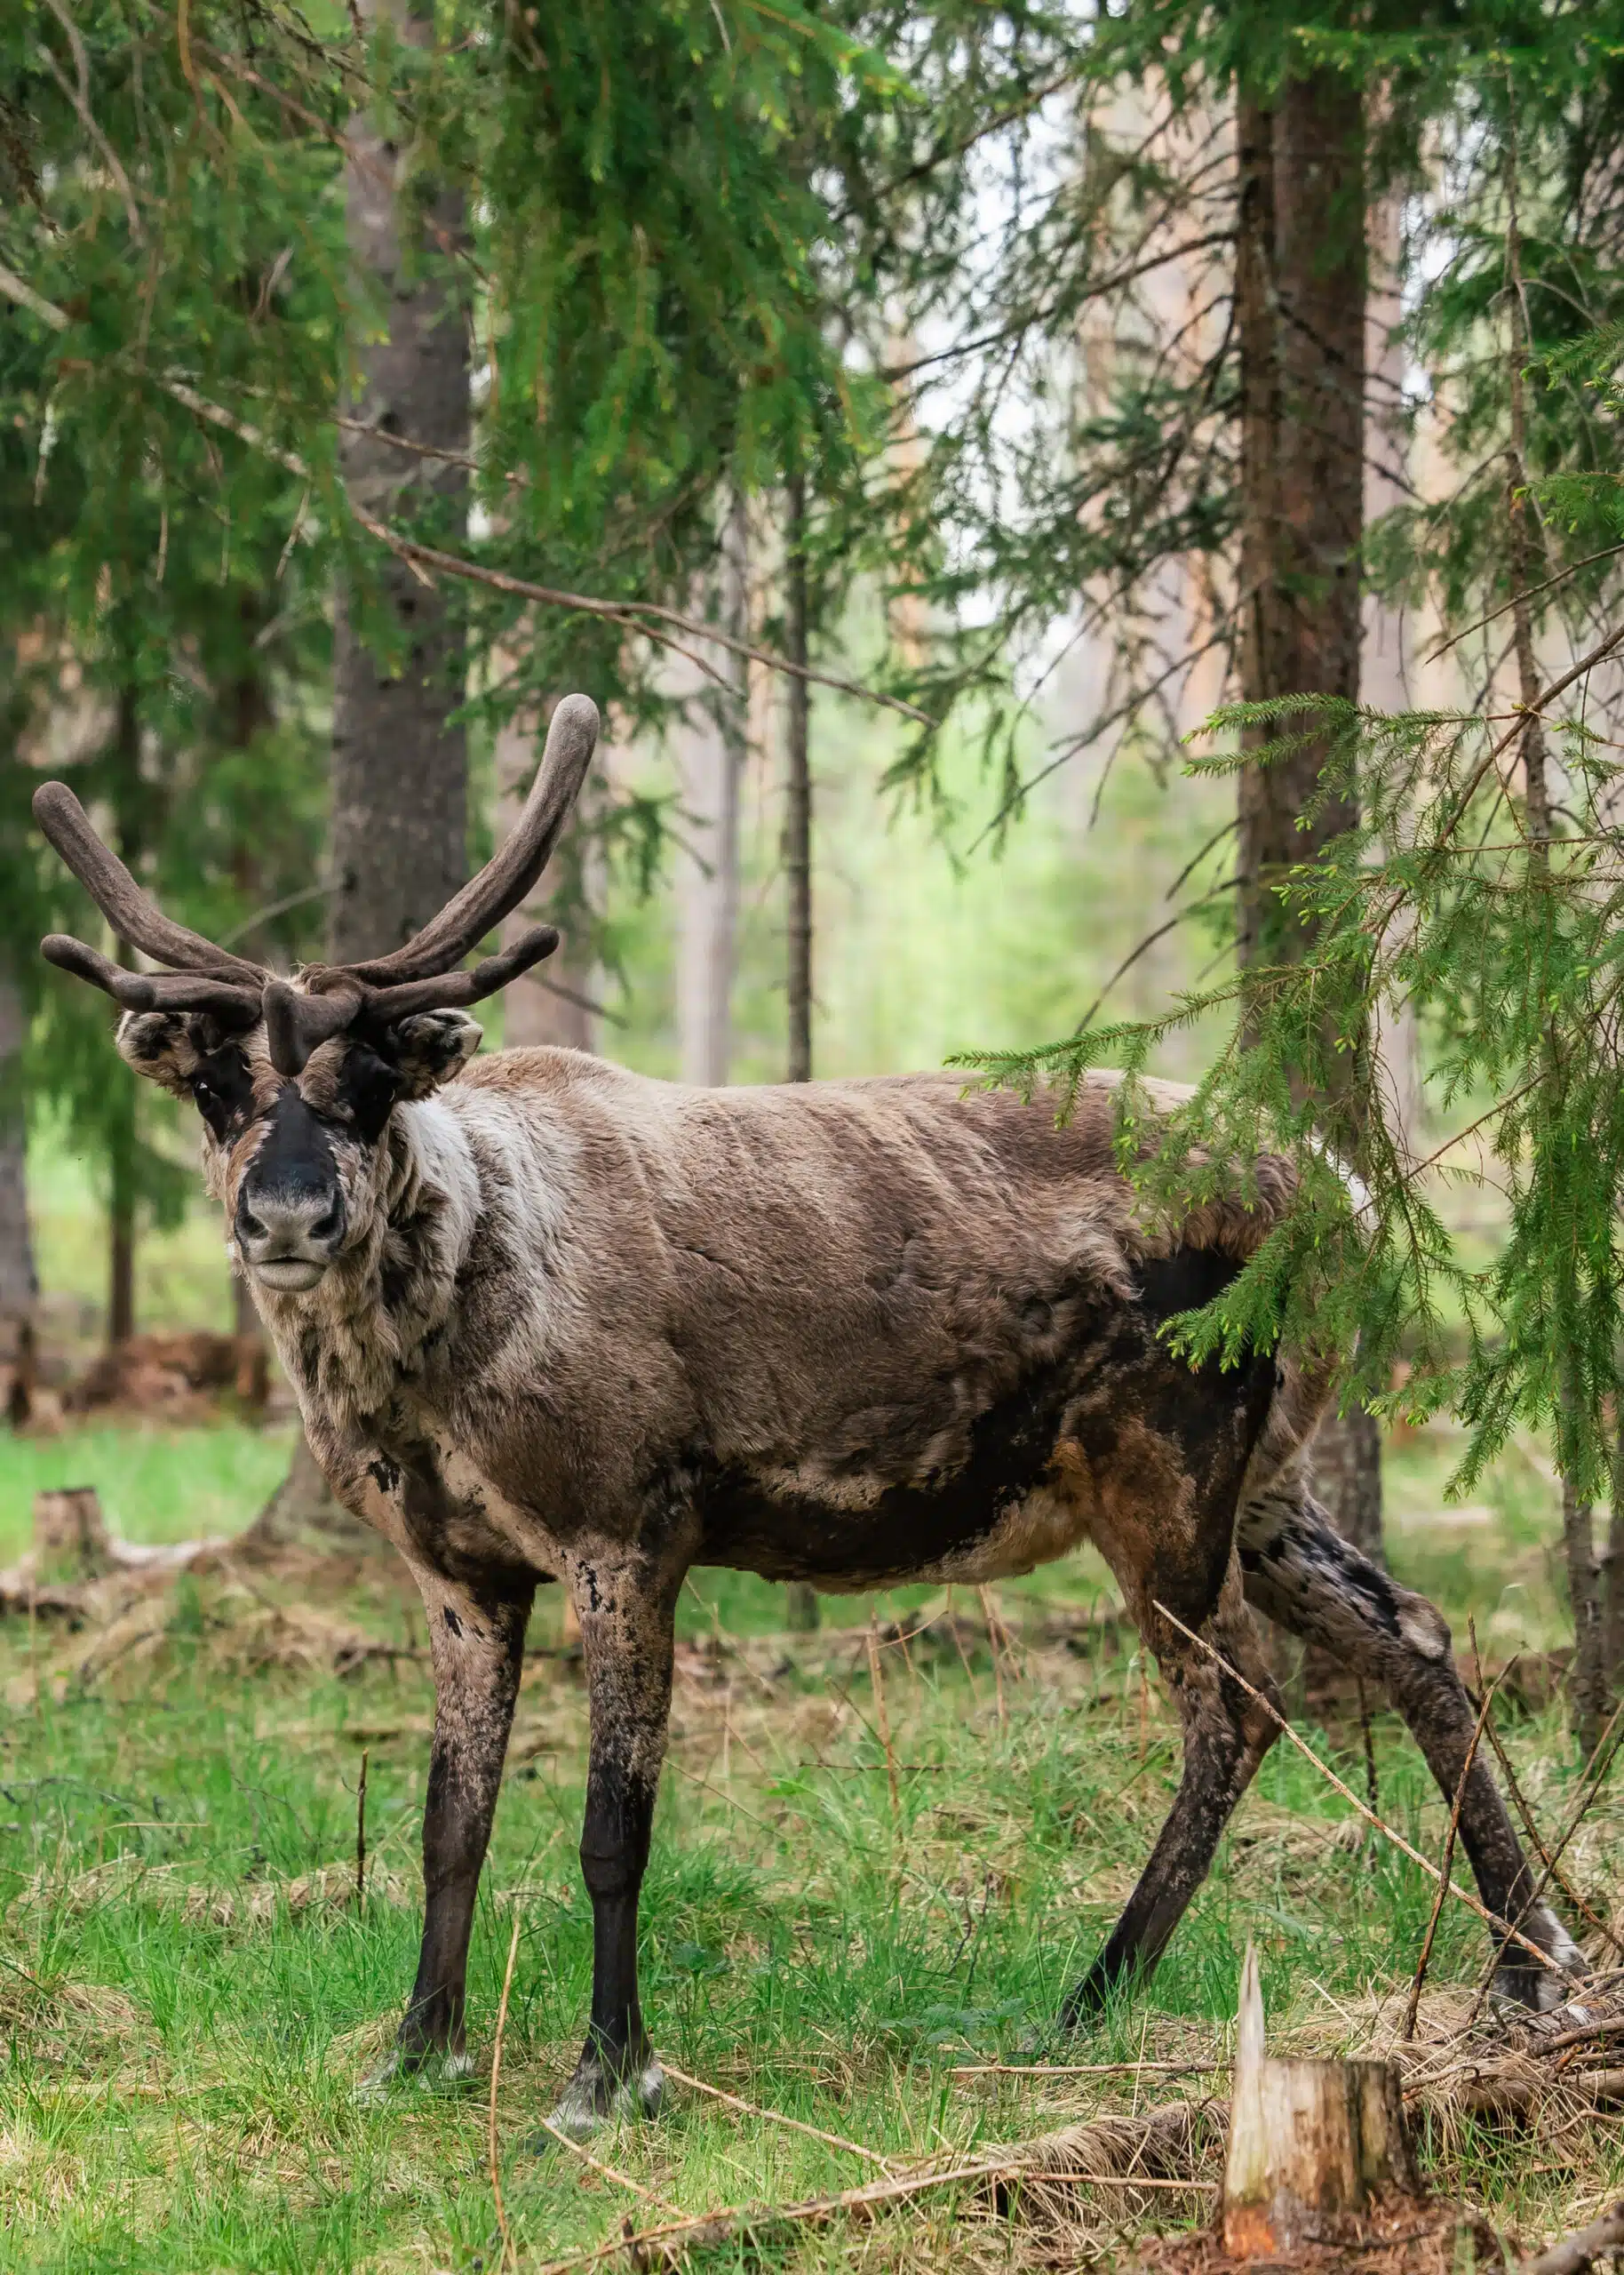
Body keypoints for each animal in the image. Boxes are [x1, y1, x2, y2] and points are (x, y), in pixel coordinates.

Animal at [33, 692, 1581, 2135]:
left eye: (369, 1085)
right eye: (216, 1083)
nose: (287, 1215)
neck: (443, 1352)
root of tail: (1353, 1201)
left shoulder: (628, 1525)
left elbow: (612, 1827)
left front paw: (611, 2073)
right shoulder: (460, 1571)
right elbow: (446, 1823)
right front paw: (416, 2052)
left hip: (1166, 1459)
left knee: (1241, 1699)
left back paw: (1089, 1998)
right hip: (1269, 1476)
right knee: (1414, 1630)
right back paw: (1530, 1964)